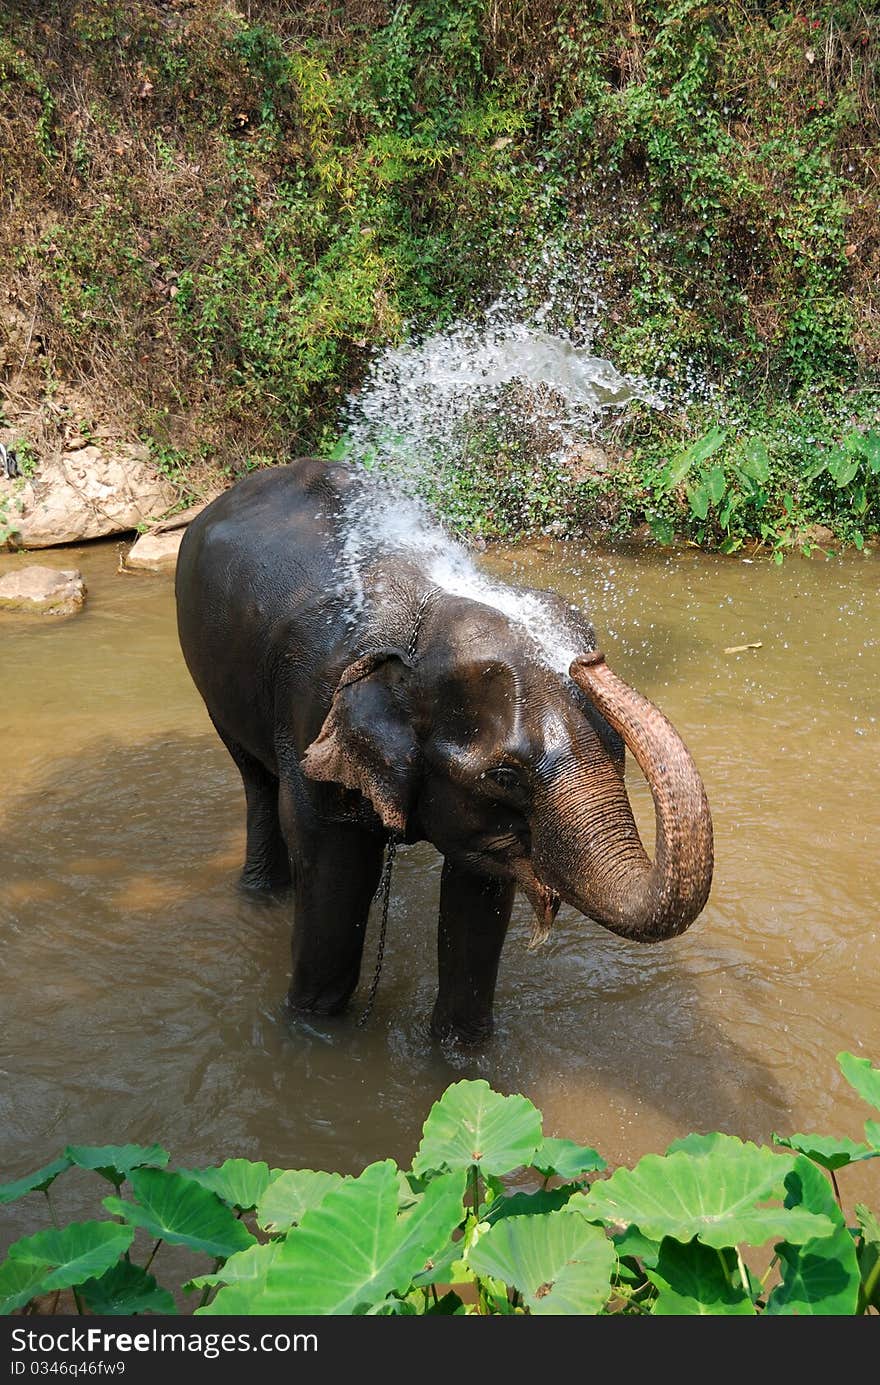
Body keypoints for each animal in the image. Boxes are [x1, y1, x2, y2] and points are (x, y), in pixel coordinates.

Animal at [175, 459, 715, 1041]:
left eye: (618, 751)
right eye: (505, 776)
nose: (587, 660)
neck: (425, 618)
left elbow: (477, 899)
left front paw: (460, 1051)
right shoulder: (310, 707)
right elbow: (331, 871)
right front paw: (312, 1030)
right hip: (213, 685)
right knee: (256, 780)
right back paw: (263, 894)